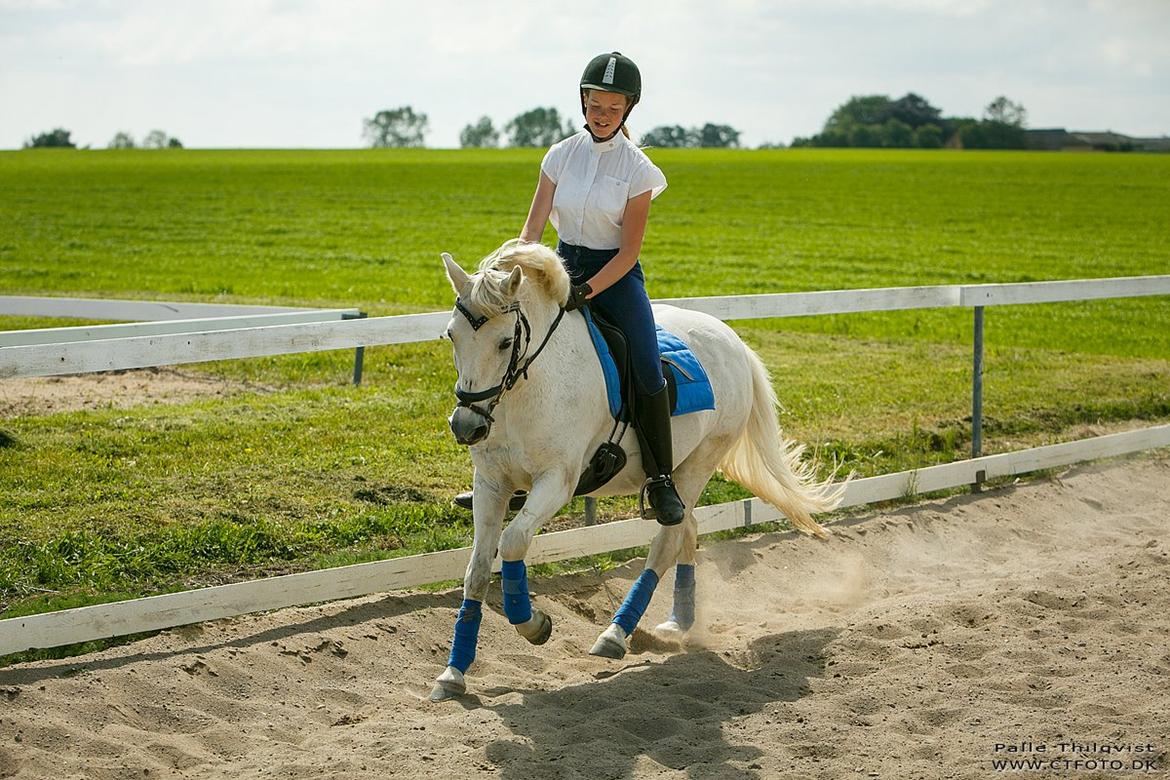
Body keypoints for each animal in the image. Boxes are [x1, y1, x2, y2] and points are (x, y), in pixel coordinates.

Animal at [430, 239, 842, 701]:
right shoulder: (491, 485)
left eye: (504, 342)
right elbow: (477, 570)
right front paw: (453, 673)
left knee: (667, 540)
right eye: (451, 335)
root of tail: (732, 339)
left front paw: (534, 625)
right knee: (687, 529)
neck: (529, 388)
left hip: (698, 465)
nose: (466, 426)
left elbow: (515, 542)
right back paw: (678, 623)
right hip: (680, 474)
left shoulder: (557, 481)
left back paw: (615, 634)